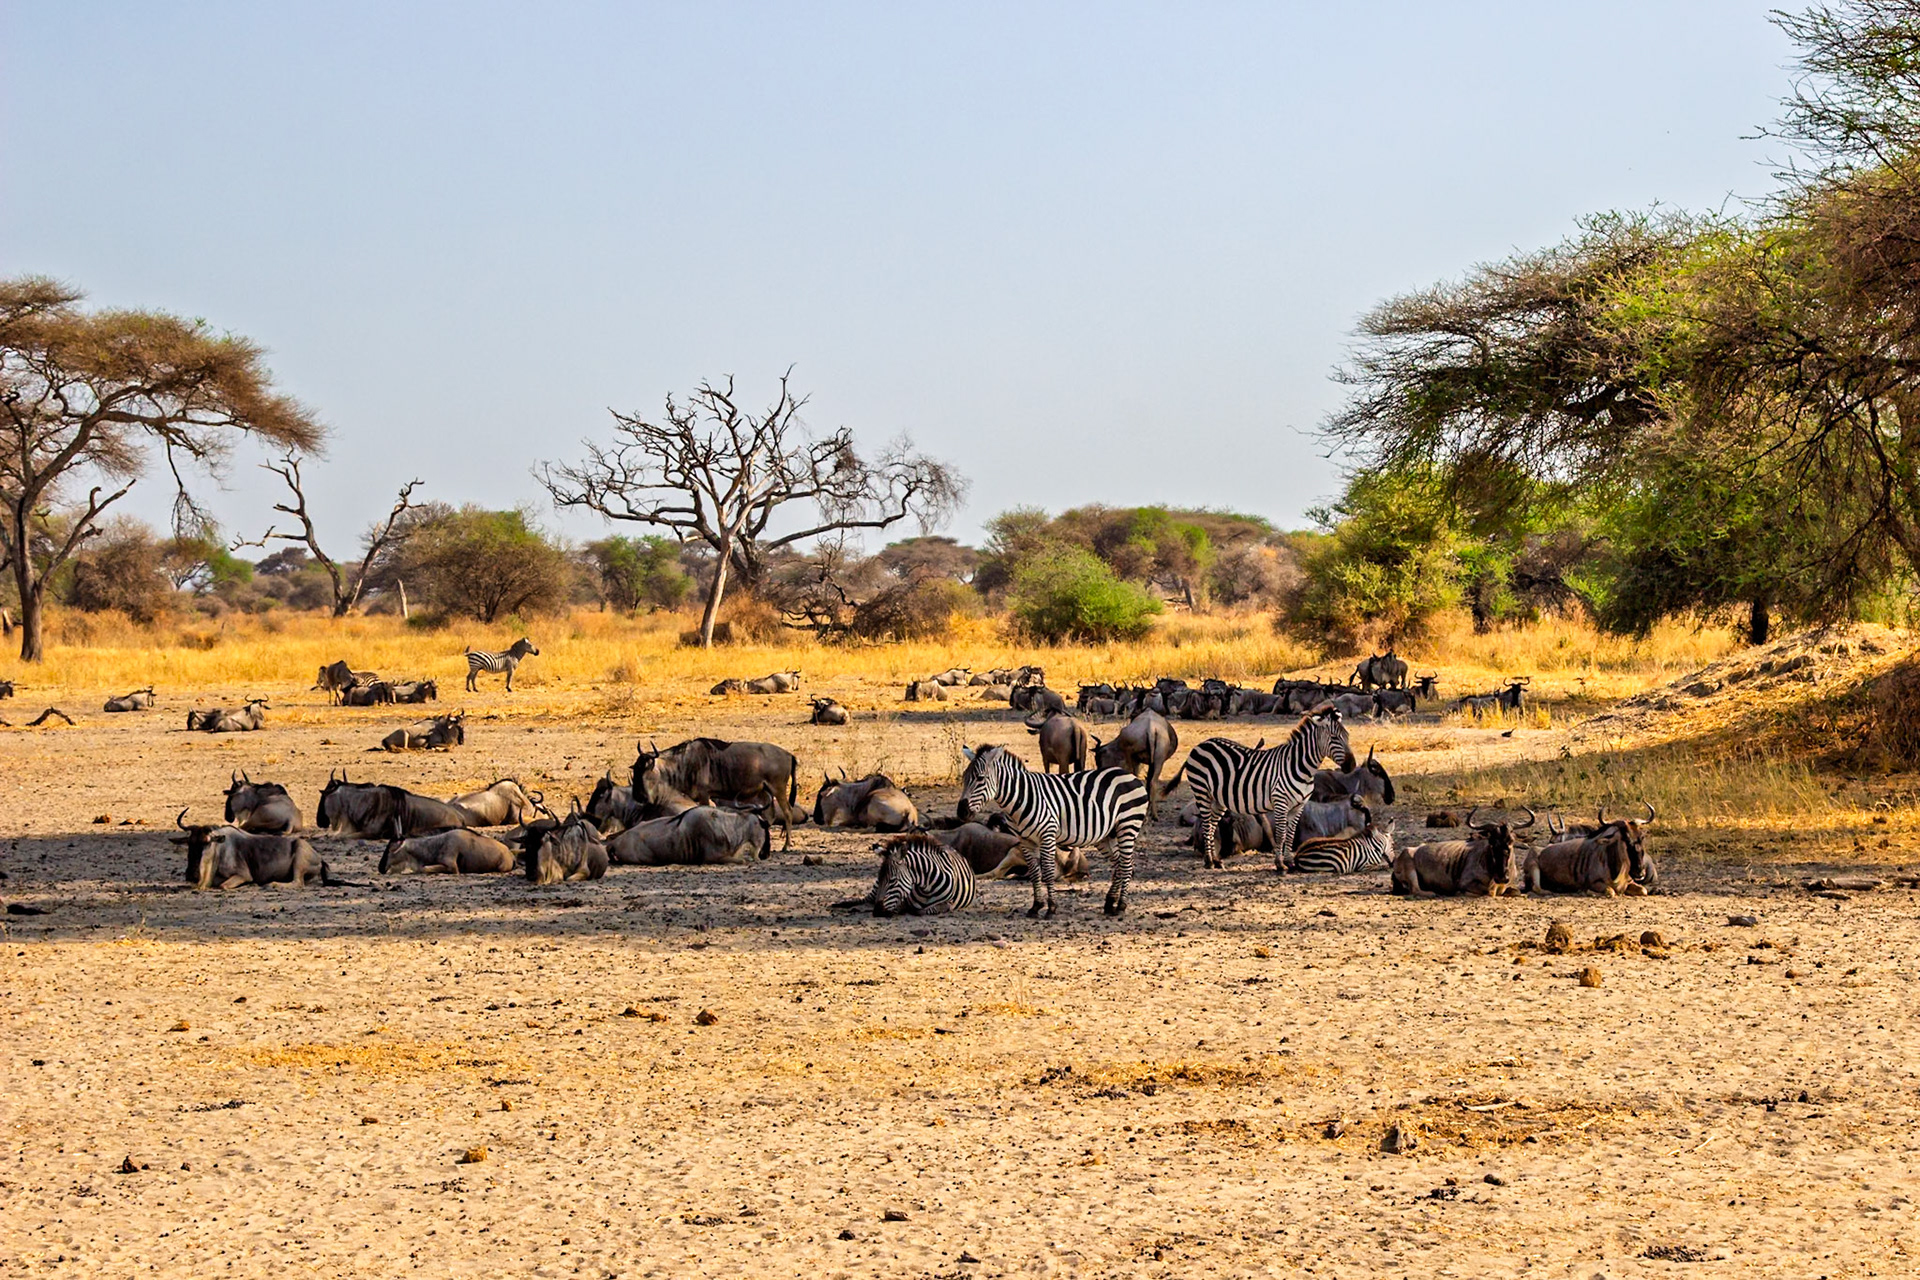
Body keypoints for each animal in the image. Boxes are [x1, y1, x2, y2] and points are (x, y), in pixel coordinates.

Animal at [957, 744, 1149, 918]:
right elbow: (1035, 873)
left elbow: (1047, 872)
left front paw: (1051, 908)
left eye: (980, 778)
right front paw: (1035, 907)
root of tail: (1130, 775)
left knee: (1126, 865)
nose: (961, 812)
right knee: (1118, 864)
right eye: (964, 778)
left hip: (1128, 825)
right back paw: (1109, 903)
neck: (1020, 799)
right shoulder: (1025, 841)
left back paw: (1121, 906)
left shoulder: (1047, 835)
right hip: (1107, 835)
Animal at [1183, 707, 1355, 872]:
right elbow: (1281, 834)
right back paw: (1209, 862)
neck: (1301, 768)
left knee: (1212, 826)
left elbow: (1290, 834)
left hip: (1218, 799)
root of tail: (1203, 743)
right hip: (1202, 792)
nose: (1352, 765)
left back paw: (1216, 861)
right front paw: (1280, 864)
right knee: (1206, 825)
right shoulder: (1280, 802)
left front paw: (1289, 862)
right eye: (1334, 737)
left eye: (1347, 736)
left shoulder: (1298, 806)